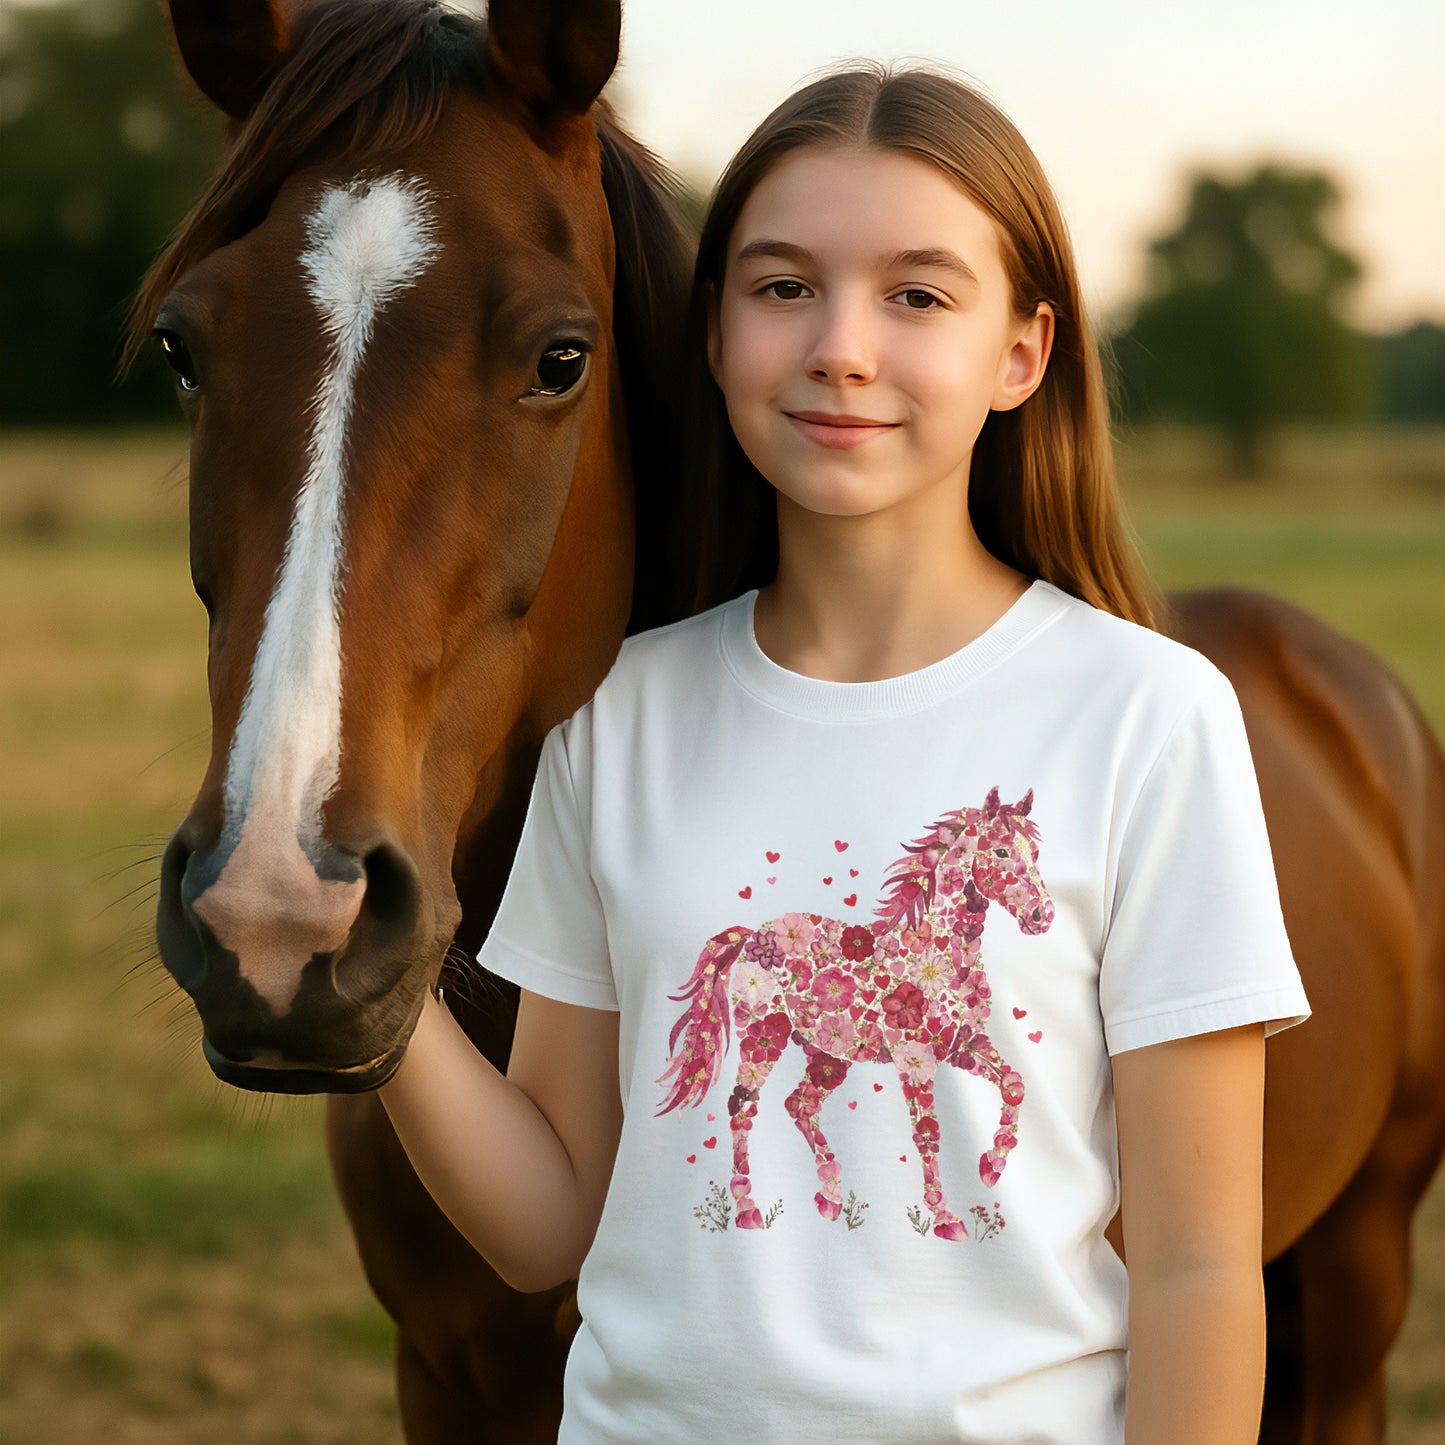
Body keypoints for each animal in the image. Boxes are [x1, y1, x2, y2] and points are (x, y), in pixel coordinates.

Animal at [658, 787, 1047, 1239]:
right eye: (1000, 850)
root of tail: (752, 934)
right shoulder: (915, 1061)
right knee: (743, 1107)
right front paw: (945, 1217)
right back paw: (747, 1208)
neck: (936, 954)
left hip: (827, 1055)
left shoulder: (963, 1045)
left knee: (800, 1104)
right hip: (763, 1037)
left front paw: (991, 1167)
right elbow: (927, 1135)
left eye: (1036, 852)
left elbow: (1014, 1085)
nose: (1043, 916)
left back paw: (830, 1195)